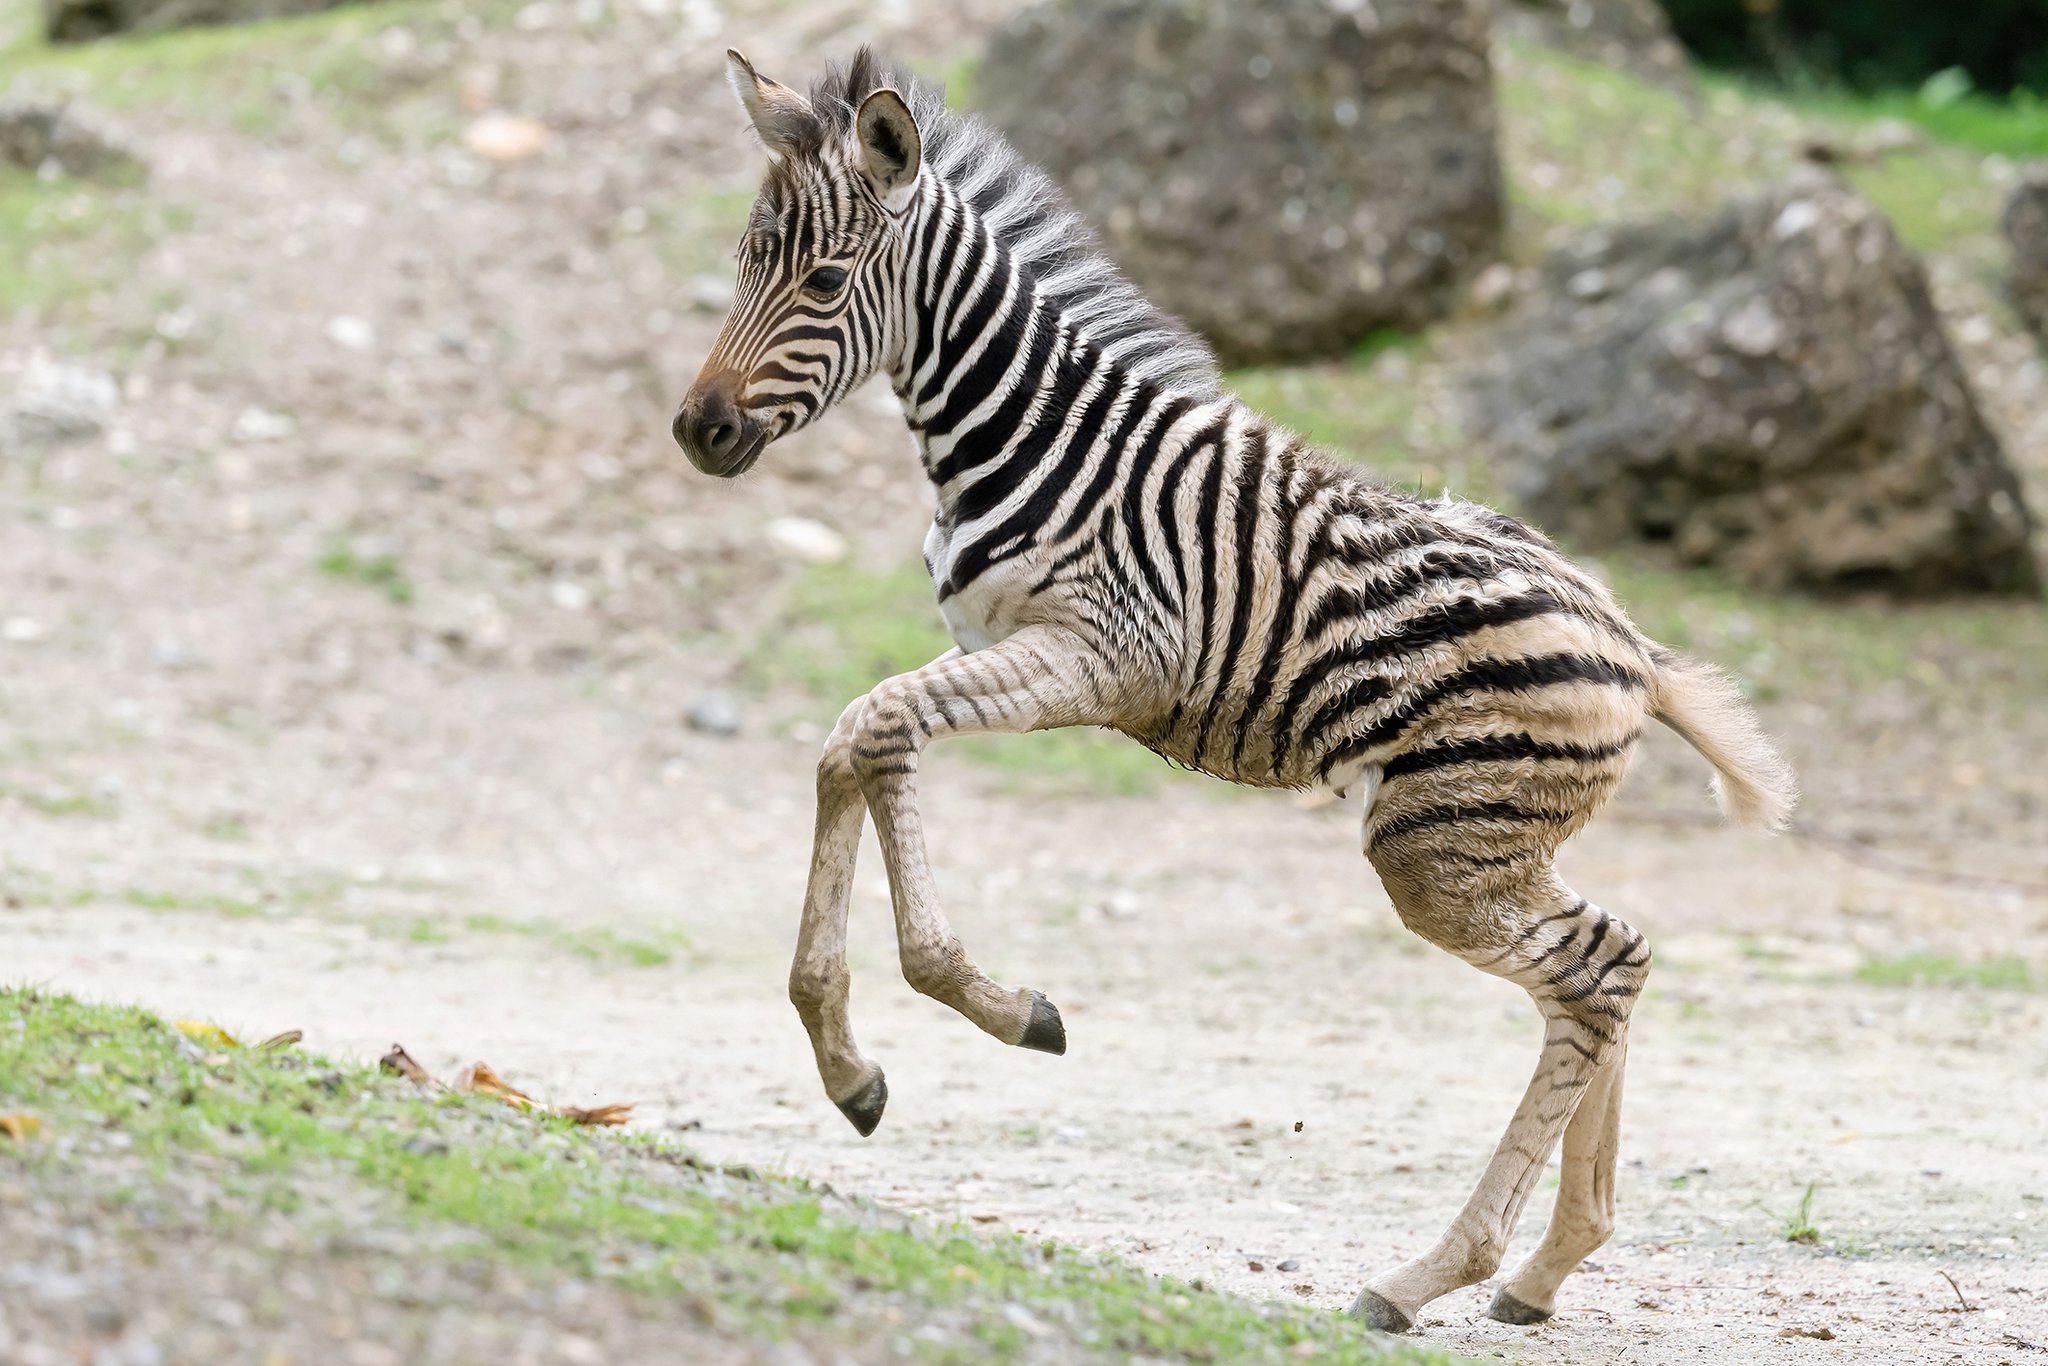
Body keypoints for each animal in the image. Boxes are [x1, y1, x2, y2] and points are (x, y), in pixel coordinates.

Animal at [673, 47, 1796, 1334]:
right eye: (746, 259)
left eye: (820, 279)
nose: (697, 429)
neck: (1030, 438)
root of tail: (1629, 640)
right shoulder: (992, 647)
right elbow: (851, 739)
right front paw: (847, 1065)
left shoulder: (1098, 655)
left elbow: (879, 731)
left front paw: (992, 1007)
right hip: (1484, 834)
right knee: (1614, 963)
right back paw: (1545, 1264)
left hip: (1438, 845)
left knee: (1596, 972)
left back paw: (1427, 1275)